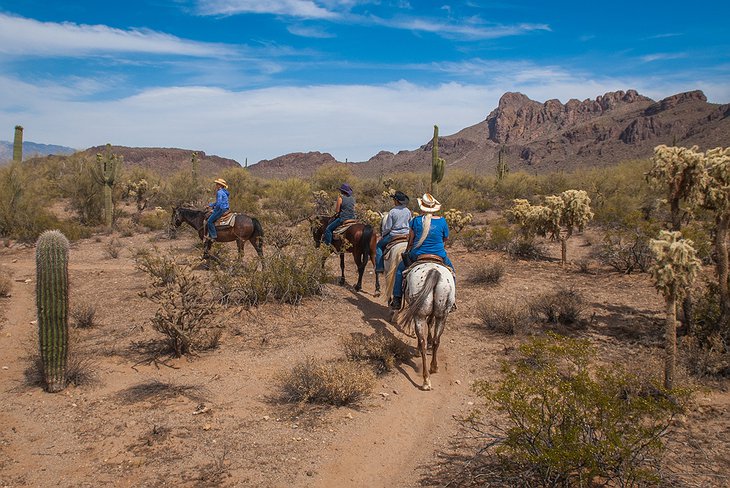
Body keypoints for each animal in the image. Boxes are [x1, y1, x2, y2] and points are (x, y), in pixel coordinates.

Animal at [396, 262, 452, 390]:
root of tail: (433, 272)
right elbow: (430, 323)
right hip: (441, 316)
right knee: (435, 341)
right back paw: (432, 371)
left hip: (419, 315)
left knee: (423, 341)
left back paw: (426, 379)